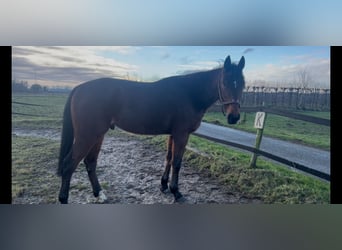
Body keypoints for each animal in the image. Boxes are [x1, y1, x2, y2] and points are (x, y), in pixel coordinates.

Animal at [58, 54, 246, 203]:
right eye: (225, 83)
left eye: (242, 84)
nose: (234, 117)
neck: (189, 94)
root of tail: (79, 88)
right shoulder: (182, 134)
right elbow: (177, 162)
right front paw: (176, 192)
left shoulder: (173, 134)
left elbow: (168, 158)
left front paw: (164, 185)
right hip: (87, 135)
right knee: (69, 165)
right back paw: (64, 198)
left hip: (98, 134)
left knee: (90, 162)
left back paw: (99, 194)